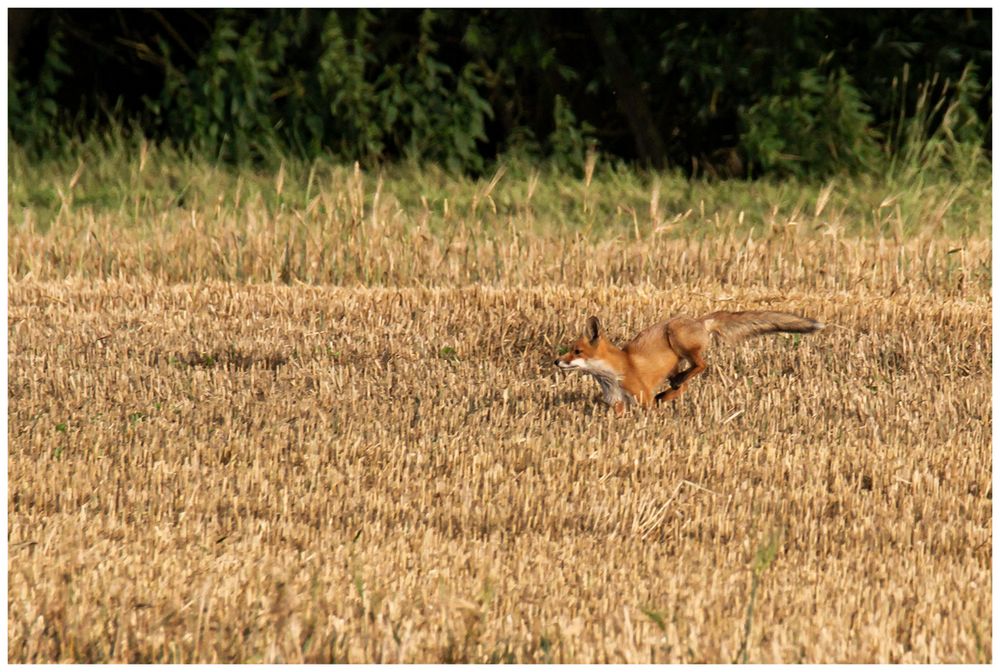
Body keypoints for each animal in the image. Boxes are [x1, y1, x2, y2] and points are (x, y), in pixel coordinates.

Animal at [552, 312, 824, 414]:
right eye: (569, 350)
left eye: (577, 351)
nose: (556, 361)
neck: (614, 375)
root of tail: (700, 319)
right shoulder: (617, 404)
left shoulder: (641, 399)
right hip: (675, 359)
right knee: (682, 384)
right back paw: (668, 392)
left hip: (677, 337)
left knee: (701, 366)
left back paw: (670, 390)